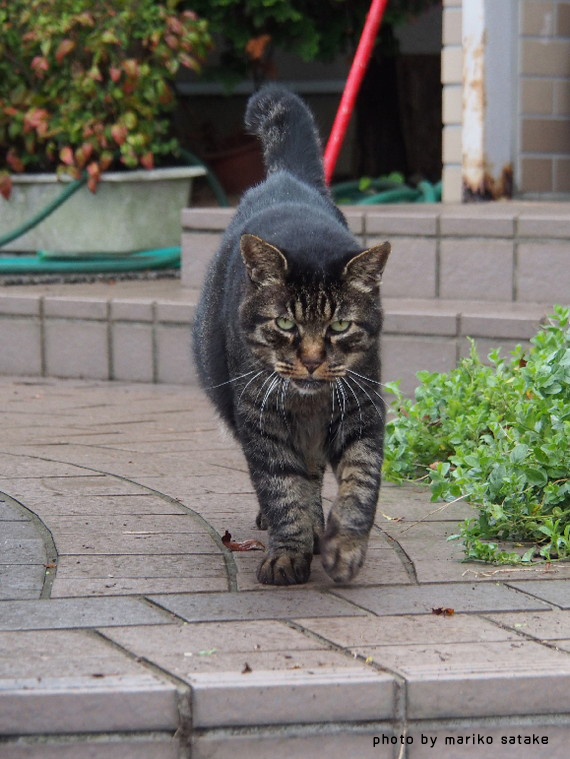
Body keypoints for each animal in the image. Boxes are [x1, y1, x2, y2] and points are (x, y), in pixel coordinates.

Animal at [193, 87, 388, 588]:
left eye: (339, 326)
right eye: (285, 324)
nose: (314, 360)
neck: (309, 403)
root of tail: (287, 177)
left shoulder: (363, 410)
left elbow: (360, 484)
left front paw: (343, 547)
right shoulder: (259, 418)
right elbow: (282, 490)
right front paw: (287, 554)